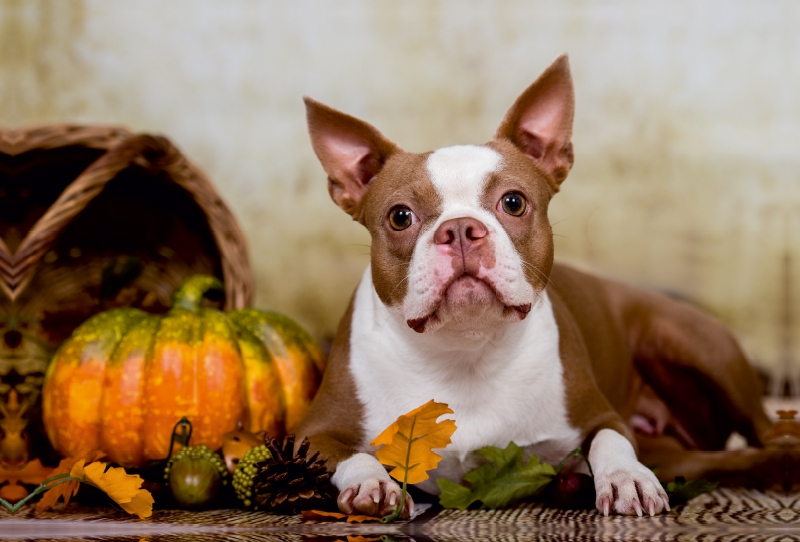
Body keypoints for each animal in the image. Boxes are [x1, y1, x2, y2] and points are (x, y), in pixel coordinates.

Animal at [296, 54, 772, 520]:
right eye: (400, 216)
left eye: (513, 202)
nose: (460, 229)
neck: (465, 352)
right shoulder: (311, 432)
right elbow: (352, 455)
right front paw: (371, 483)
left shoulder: (602, 415)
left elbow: (611, 440)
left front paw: (627, 478)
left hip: (700, 346)